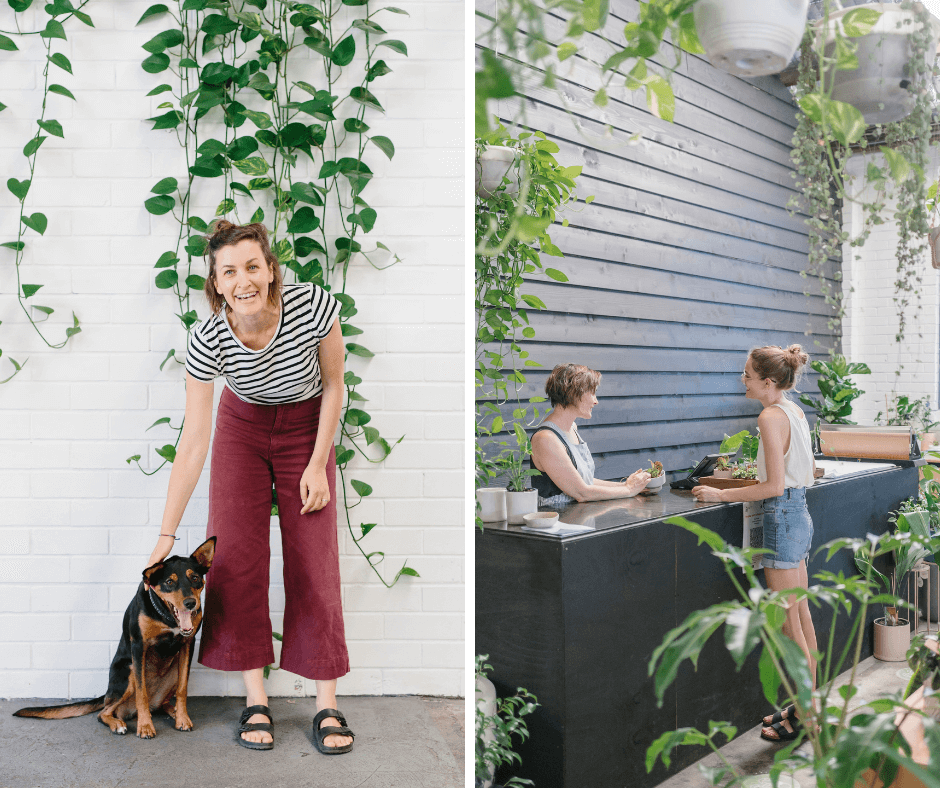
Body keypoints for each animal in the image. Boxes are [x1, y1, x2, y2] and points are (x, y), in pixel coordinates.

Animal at [15, 536, 215, 740]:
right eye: (169, 581)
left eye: (195, 578)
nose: (191, 603)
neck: (166, 617)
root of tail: (107, 694)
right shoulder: (139, 646)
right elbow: (141, 694)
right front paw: (145, 726)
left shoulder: (188, 645)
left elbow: (183, 688)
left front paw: (182, 718)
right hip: (128, 672)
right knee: (104, 712)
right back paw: (118, 724)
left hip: (173, 670)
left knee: (161, 703)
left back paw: (172, 711)